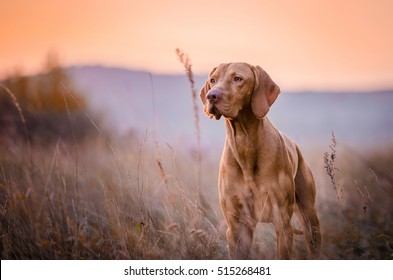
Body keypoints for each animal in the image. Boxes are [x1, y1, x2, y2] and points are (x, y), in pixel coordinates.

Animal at [201, 62, 320, 260]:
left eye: (237, 78)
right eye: (213, 80)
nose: (211, 95)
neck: (244, 143)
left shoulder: (282, 222)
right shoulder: (237, 227)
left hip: (309, 216)